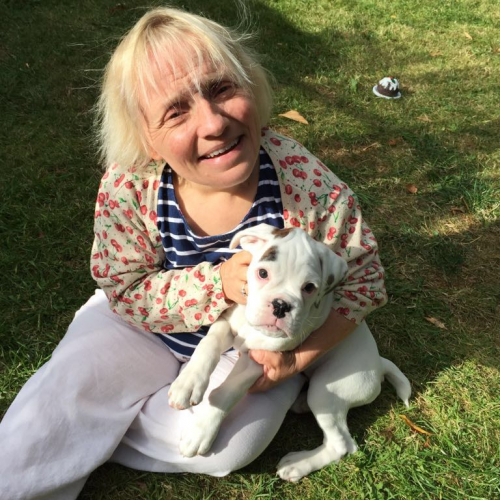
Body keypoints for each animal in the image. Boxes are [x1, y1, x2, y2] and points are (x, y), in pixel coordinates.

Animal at [168, 223, 410, 480]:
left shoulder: (260, 360)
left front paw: (201, 431)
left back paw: (297, 465)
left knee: (342, 445)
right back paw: (301, 406)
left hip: (327, 391)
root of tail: (378, 365)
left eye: (309, 288)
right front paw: (188, 384)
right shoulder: (227, 324)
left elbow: (227, 392)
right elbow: (207, 347)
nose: (280, 305)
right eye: (263, 273)